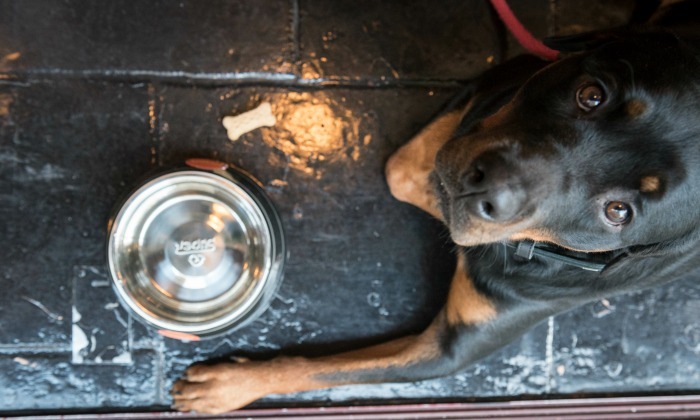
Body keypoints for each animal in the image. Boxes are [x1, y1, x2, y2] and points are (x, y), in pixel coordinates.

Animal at [172, 2, 700, 414]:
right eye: (592, 94)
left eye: (618, 212)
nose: (485, 191)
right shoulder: (495, 93)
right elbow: (406, 171)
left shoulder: (449, 351)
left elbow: (323, 369)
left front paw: (229, 386)